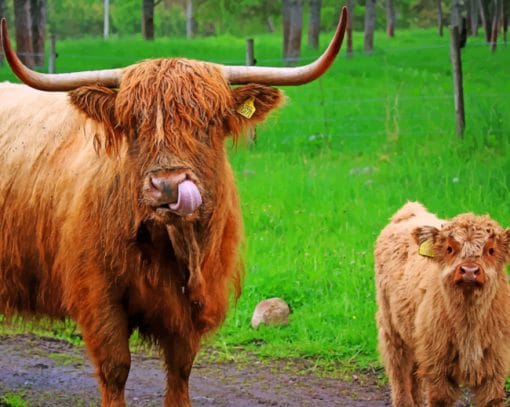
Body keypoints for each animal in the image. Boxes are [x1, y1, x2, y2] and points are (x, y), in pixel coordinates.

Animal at [0, 8, 346, 407]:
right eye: (134, 124)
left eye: (208, 122)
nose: (167, 184)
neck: (175, 246)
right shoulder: (98, 294)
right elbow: (115, 367)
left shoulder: (195, 303)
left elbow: (180, 370)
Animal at [374, 202, 510, 406]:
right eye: (449, 248)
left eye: (491, 250)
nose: (469, 271)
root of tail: (409, 210)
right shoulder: (438, 367)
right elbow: (439, 398)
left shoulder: (495, 368)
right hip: (391, 327)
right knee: (399, 371)